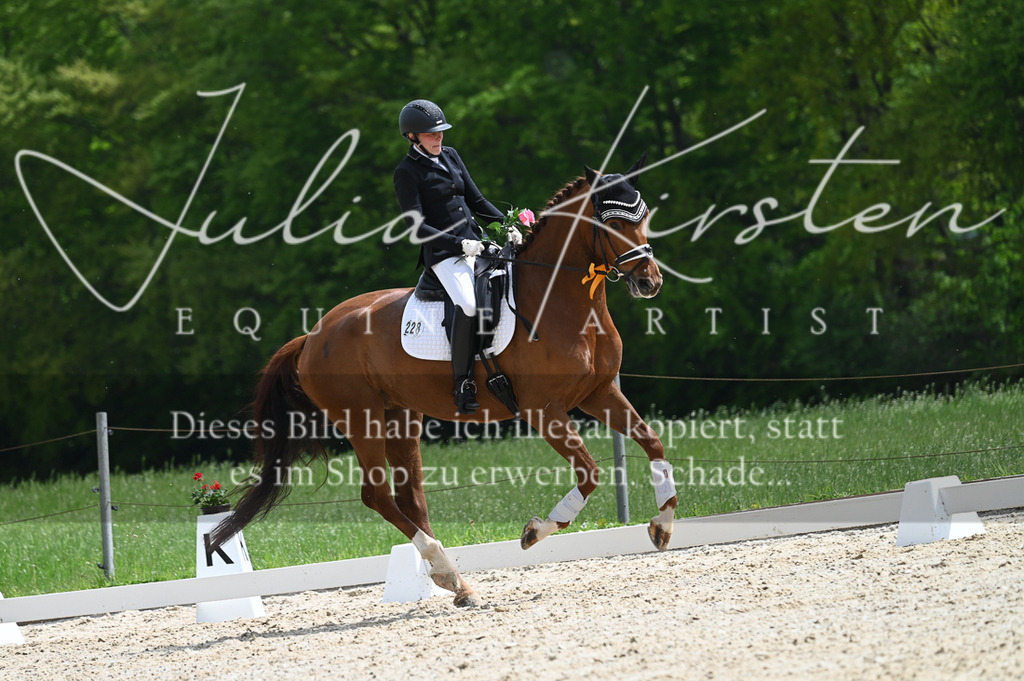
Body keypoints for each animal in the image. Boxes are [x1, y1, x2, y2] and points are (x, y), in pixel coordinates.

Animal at [211, 156, 678, 607]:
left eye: (643, 216)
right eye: (612, 223)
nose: (650, 281)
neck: (560, 299)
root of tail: (312, 336)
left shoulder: (600, 392)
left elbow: (653, 443)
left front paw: (662, 525)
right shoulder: (544, 410)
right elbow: (589, 472)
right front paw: (535, 531)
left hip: (400, 416)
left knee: (410, 498)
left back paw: (457, 584)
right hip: (362, 419)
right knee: (378, 496)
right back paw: (447, 572)